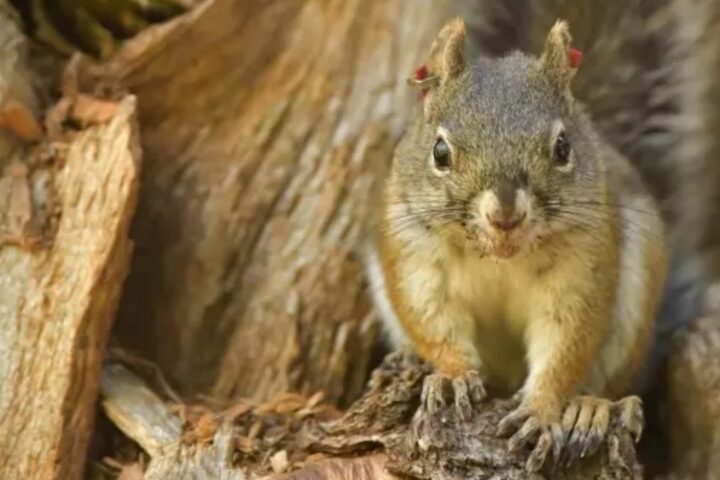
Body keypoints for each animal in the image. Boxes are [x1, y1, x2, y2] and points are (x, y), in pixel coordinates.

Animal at [366, 15, 676, 472]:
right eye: (440, 152)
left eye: (563, 147)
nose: (505, 216)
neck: (500, 259)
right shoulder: (415, 256)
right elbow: (433, 319)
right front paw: (454, 377)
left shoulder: (582, 265)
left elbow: (566, 343)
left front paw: (541, 410)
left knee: (608, 379)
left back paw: (592, 408)